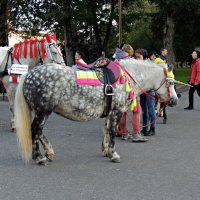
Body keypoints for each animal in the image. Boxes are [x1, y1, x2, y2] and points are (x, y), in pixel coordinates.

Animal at [14, 58, 178, 165]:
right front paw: (113, 154)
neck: (126, 77)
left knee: (38, 131)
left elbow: (106, 130)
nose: (175, 100)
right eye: (170, 83)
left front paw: (106, 151)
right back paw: (39, 156)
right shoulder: (117, 112)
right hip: (43, 112)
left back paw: (49, 152)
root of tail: (28, 75)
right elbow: (112, 132)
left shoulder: (109, 113)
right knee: (35, 130)